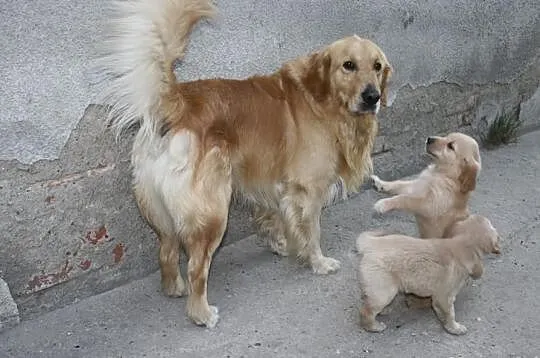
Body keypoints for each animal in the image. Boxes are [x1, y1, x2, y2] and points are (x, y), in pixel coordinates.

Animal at [96, 0, 392, 328]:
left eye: (377, 66)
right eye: (348, 65)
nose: (372, 96)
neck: (322, 97)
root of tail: (176, 100)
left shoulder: (273, 181)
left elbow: (275, 217)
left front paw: (282, 244)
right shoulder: (307, 190)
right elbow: (311, 231)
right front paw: (317, 261)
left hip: (160, 211)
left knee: (166, 250)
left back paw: (173, 287)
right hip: (212, 211)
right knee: (196, 266)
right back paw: (201, 313)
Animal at [354, 215, 502, 336]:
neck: (461, 245)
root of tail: (371, 244)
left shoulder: (439, 297)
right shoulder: (445, 296)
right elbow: (450, 314)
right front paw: (454, 328)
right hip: (384, 291)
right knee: (366, 311)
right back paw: (373, 326)